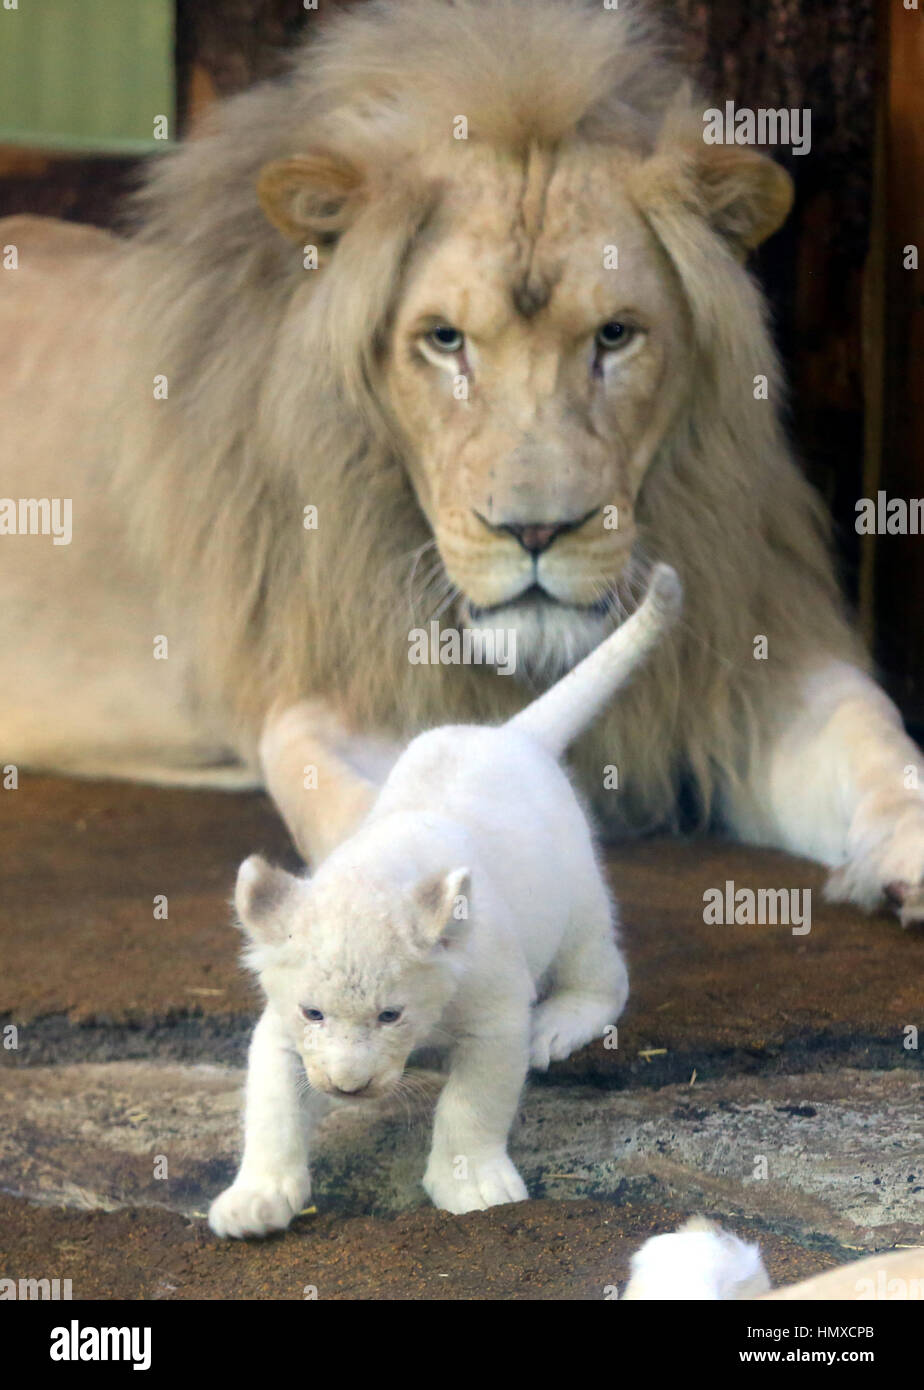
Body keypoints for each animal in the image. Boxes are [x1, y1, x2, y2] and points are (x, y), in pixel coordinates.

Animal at [1, 0, 923, 921]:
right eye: (445, 340)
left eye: (615, 335)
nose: (537, 532)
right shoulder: (336, 690)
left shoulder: (746, 663)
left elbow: (874, 731)